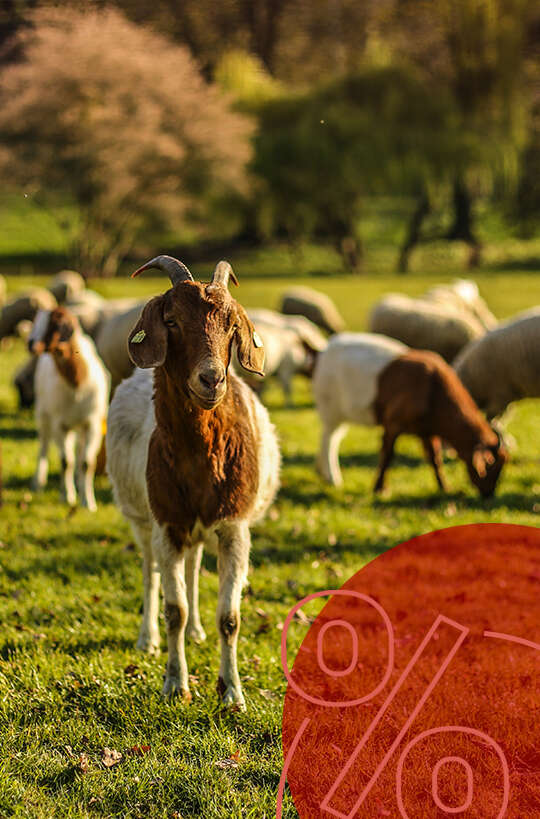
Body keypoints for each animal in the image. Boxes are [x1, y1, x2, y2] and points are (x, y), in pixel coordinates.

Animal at [29, 307, 110, 510]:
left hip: (79, 426)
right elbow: (66, 462)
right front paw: (68, 497)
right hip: (44, 414)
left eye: (55, 324)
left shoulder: (93, 424)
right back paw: (41, 483)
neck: (76, 383)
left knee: (79, 454)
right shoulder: (60, 424)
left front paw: (88, 502)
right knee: (45, 446)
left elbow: (86, 463)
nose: (30, 344)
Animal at [106, 256, 280, 706]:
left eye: (231, 324)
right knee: (151, 572)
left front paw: (232, 691)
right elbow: (174, 611)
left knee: (194, 568)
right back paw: (147, 639)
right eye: (171, 321)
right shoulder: (167, 524)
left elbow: (230, 617)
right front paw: (175, 684)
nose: (212, 379)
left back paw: (199, 632)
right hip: (141, 519)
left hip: (201, 529)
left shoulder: (233, 527)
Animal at [313, 333, 507, 496]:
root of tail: (323, 352)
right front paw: (379, 488)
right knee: (328, 440)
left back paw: (323, 472)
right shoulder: (392, 424)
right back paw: (332, 477)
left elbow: (434, 459)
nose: (488, 494)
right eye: (492, 467)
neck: (433, 390)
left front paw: (444, 487)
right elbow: (387, 455)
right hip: (330, 408)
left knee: (333, 438)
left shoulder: (427, 431)